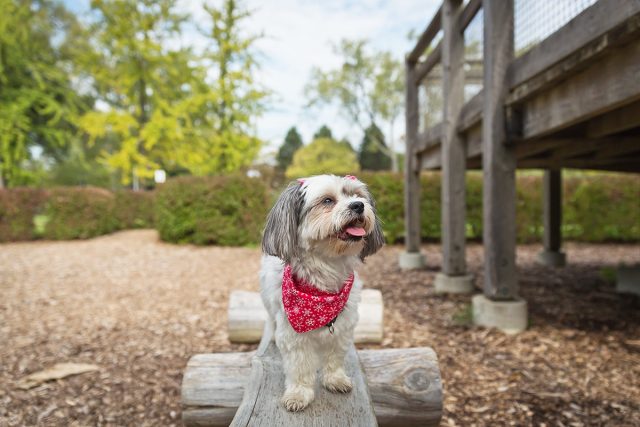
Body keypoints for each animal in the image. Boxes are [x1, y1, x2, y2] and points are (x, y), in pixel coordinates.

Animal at [260, 174, 384, 412]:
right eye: (327, 200)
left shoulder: (343, 326)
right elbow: (299, 366)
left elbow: (334, 357)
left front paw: (335, 379)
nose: (358, 205)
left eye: (357, 195)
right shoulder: (293, 335)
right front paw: (299, 394)